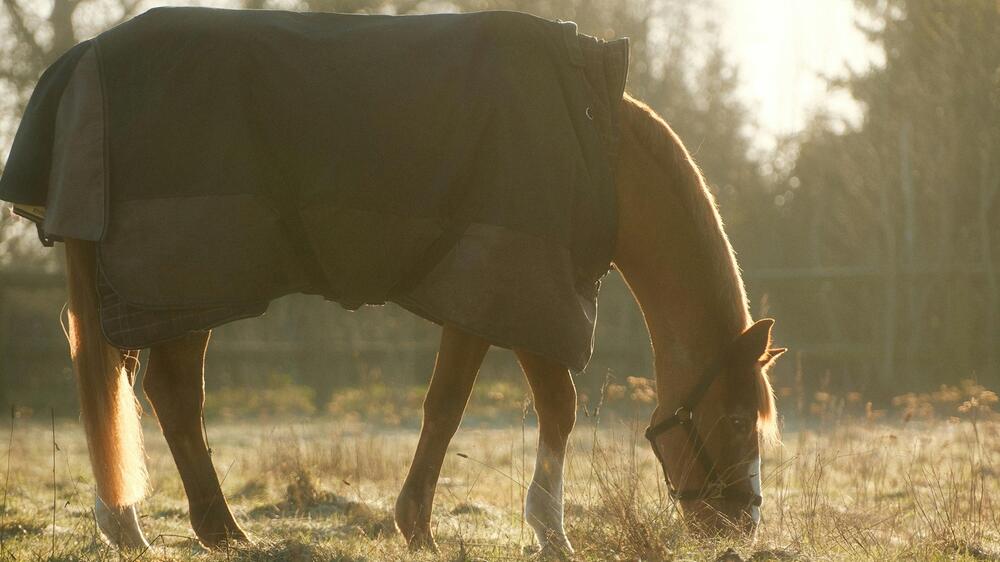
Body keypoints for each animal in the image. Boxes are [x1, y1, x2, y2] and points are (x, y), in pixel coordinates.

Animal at [62, 93, 784, 552]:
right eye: (735, 419)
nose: (741, 529)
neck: (592, 152)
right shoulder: (525, 293)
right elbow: (558, 406)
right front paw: (550, 532)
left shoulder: (478, 304)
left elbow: (445, 406)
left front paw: (416, 524)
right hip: (190, 290)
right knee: (172, 395)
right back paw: (219, 532)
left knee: (123, 387)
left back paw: (126, 524)